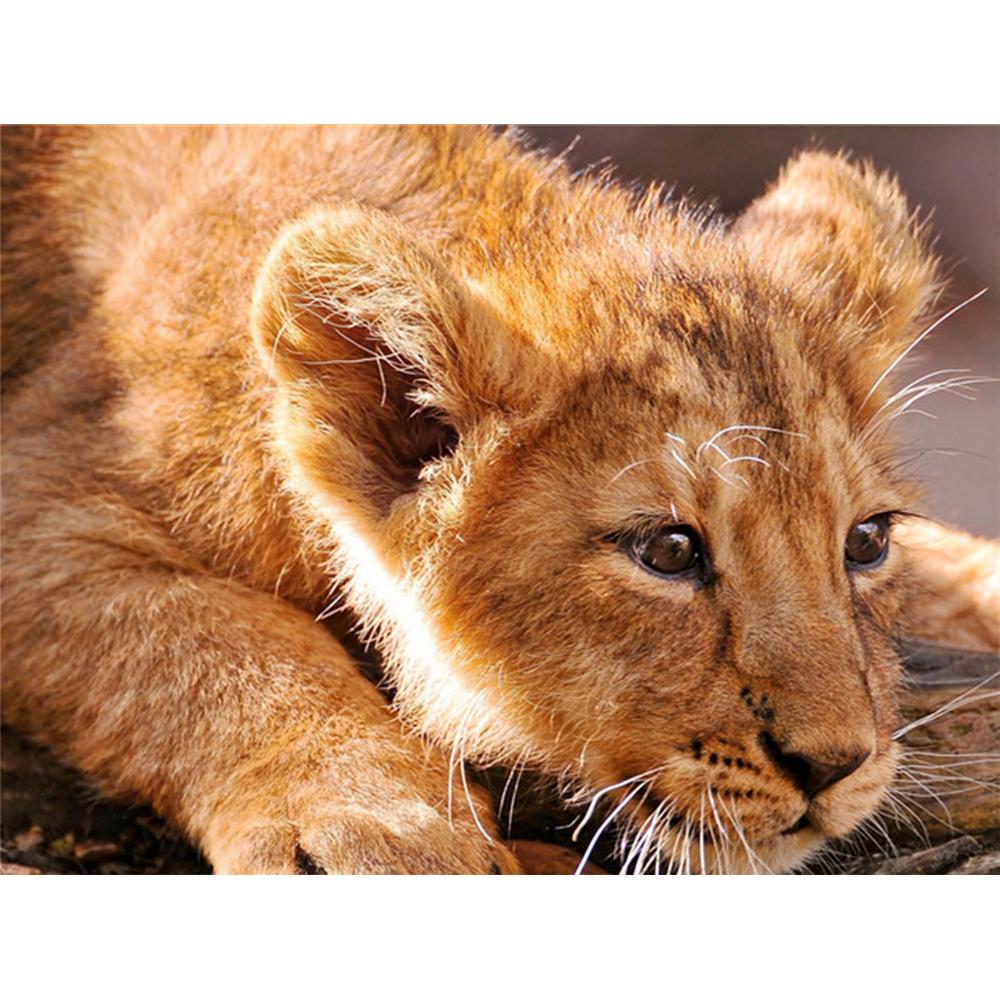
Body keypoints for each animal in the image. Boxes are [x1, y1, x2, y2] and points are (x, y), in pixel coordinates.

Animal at [2, 125, 997, 873]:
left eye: (866, 541)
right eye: (669, 552)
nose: (836, 766)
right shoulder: (44, 479)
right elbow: (208, 639)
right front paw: (377, 826)